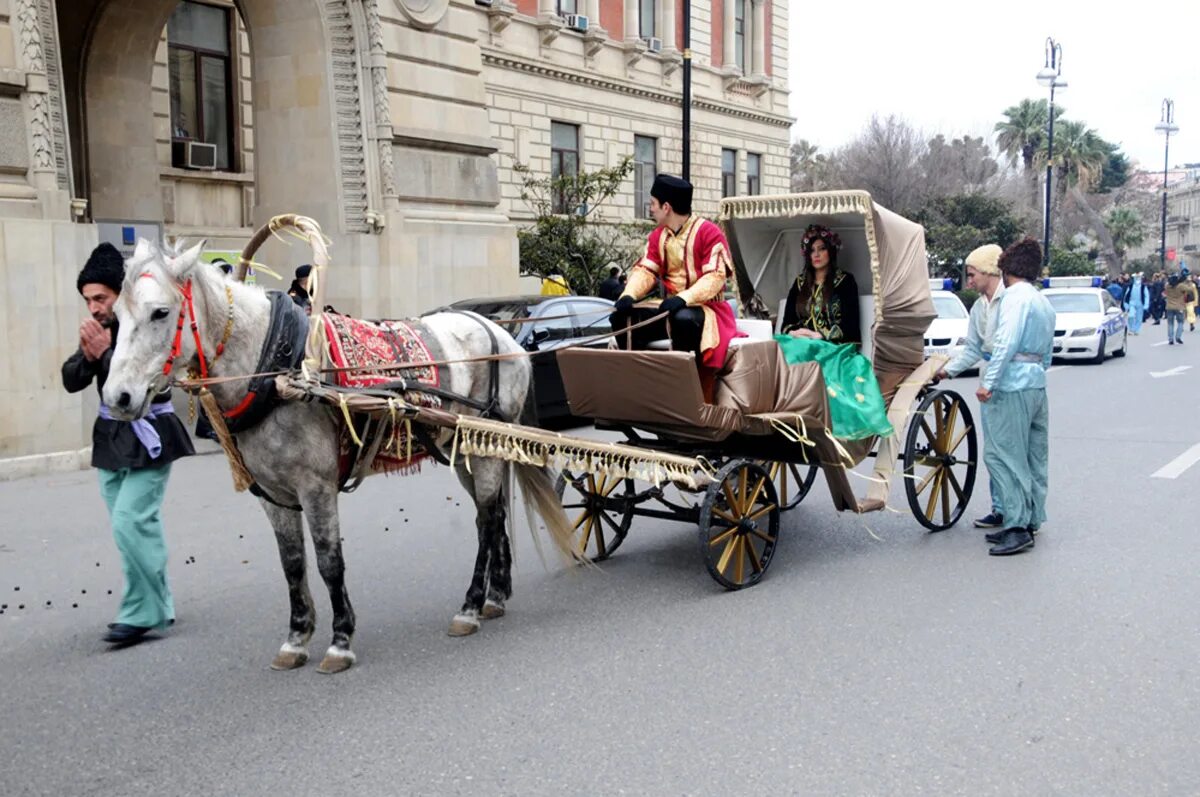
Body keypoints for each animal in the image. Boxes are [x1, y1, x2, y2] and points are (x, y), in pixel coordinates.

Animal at [102, 241, 571, 672]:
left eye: (161, 313)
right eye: (115, 316)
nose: (117, 398)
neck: (277, 371)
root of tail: (501, 333)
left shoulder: (316, 487)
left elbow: (329, 561)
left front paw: (340, 640)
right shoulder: (273, 495)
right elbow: (292, 564)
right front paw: (296, 638)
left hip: (483, 448)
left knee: (487, 519)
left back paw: (471, 606)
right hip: (467, 452)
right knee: (492, 514)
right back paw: (496, 594)